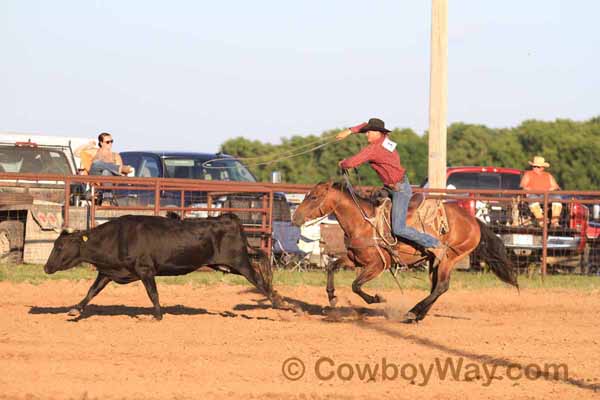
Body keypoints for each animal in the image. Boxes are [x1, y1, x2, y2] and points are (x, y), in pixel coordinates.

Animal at [290, 181, 516, 322]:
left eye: (314, 197)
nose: (295, 218)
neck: (363, 222)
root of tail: (473, 221)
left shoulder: (378, 264)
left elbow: (356, 285)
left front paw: (377, 299)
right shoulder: (354, 259)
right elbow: (331, 266)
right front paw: (331, 297)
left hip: (449, 258)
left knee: (441, 286)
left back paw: (412, 313)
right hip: (435, 261)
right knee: (436, 287)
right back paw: (417, 315)